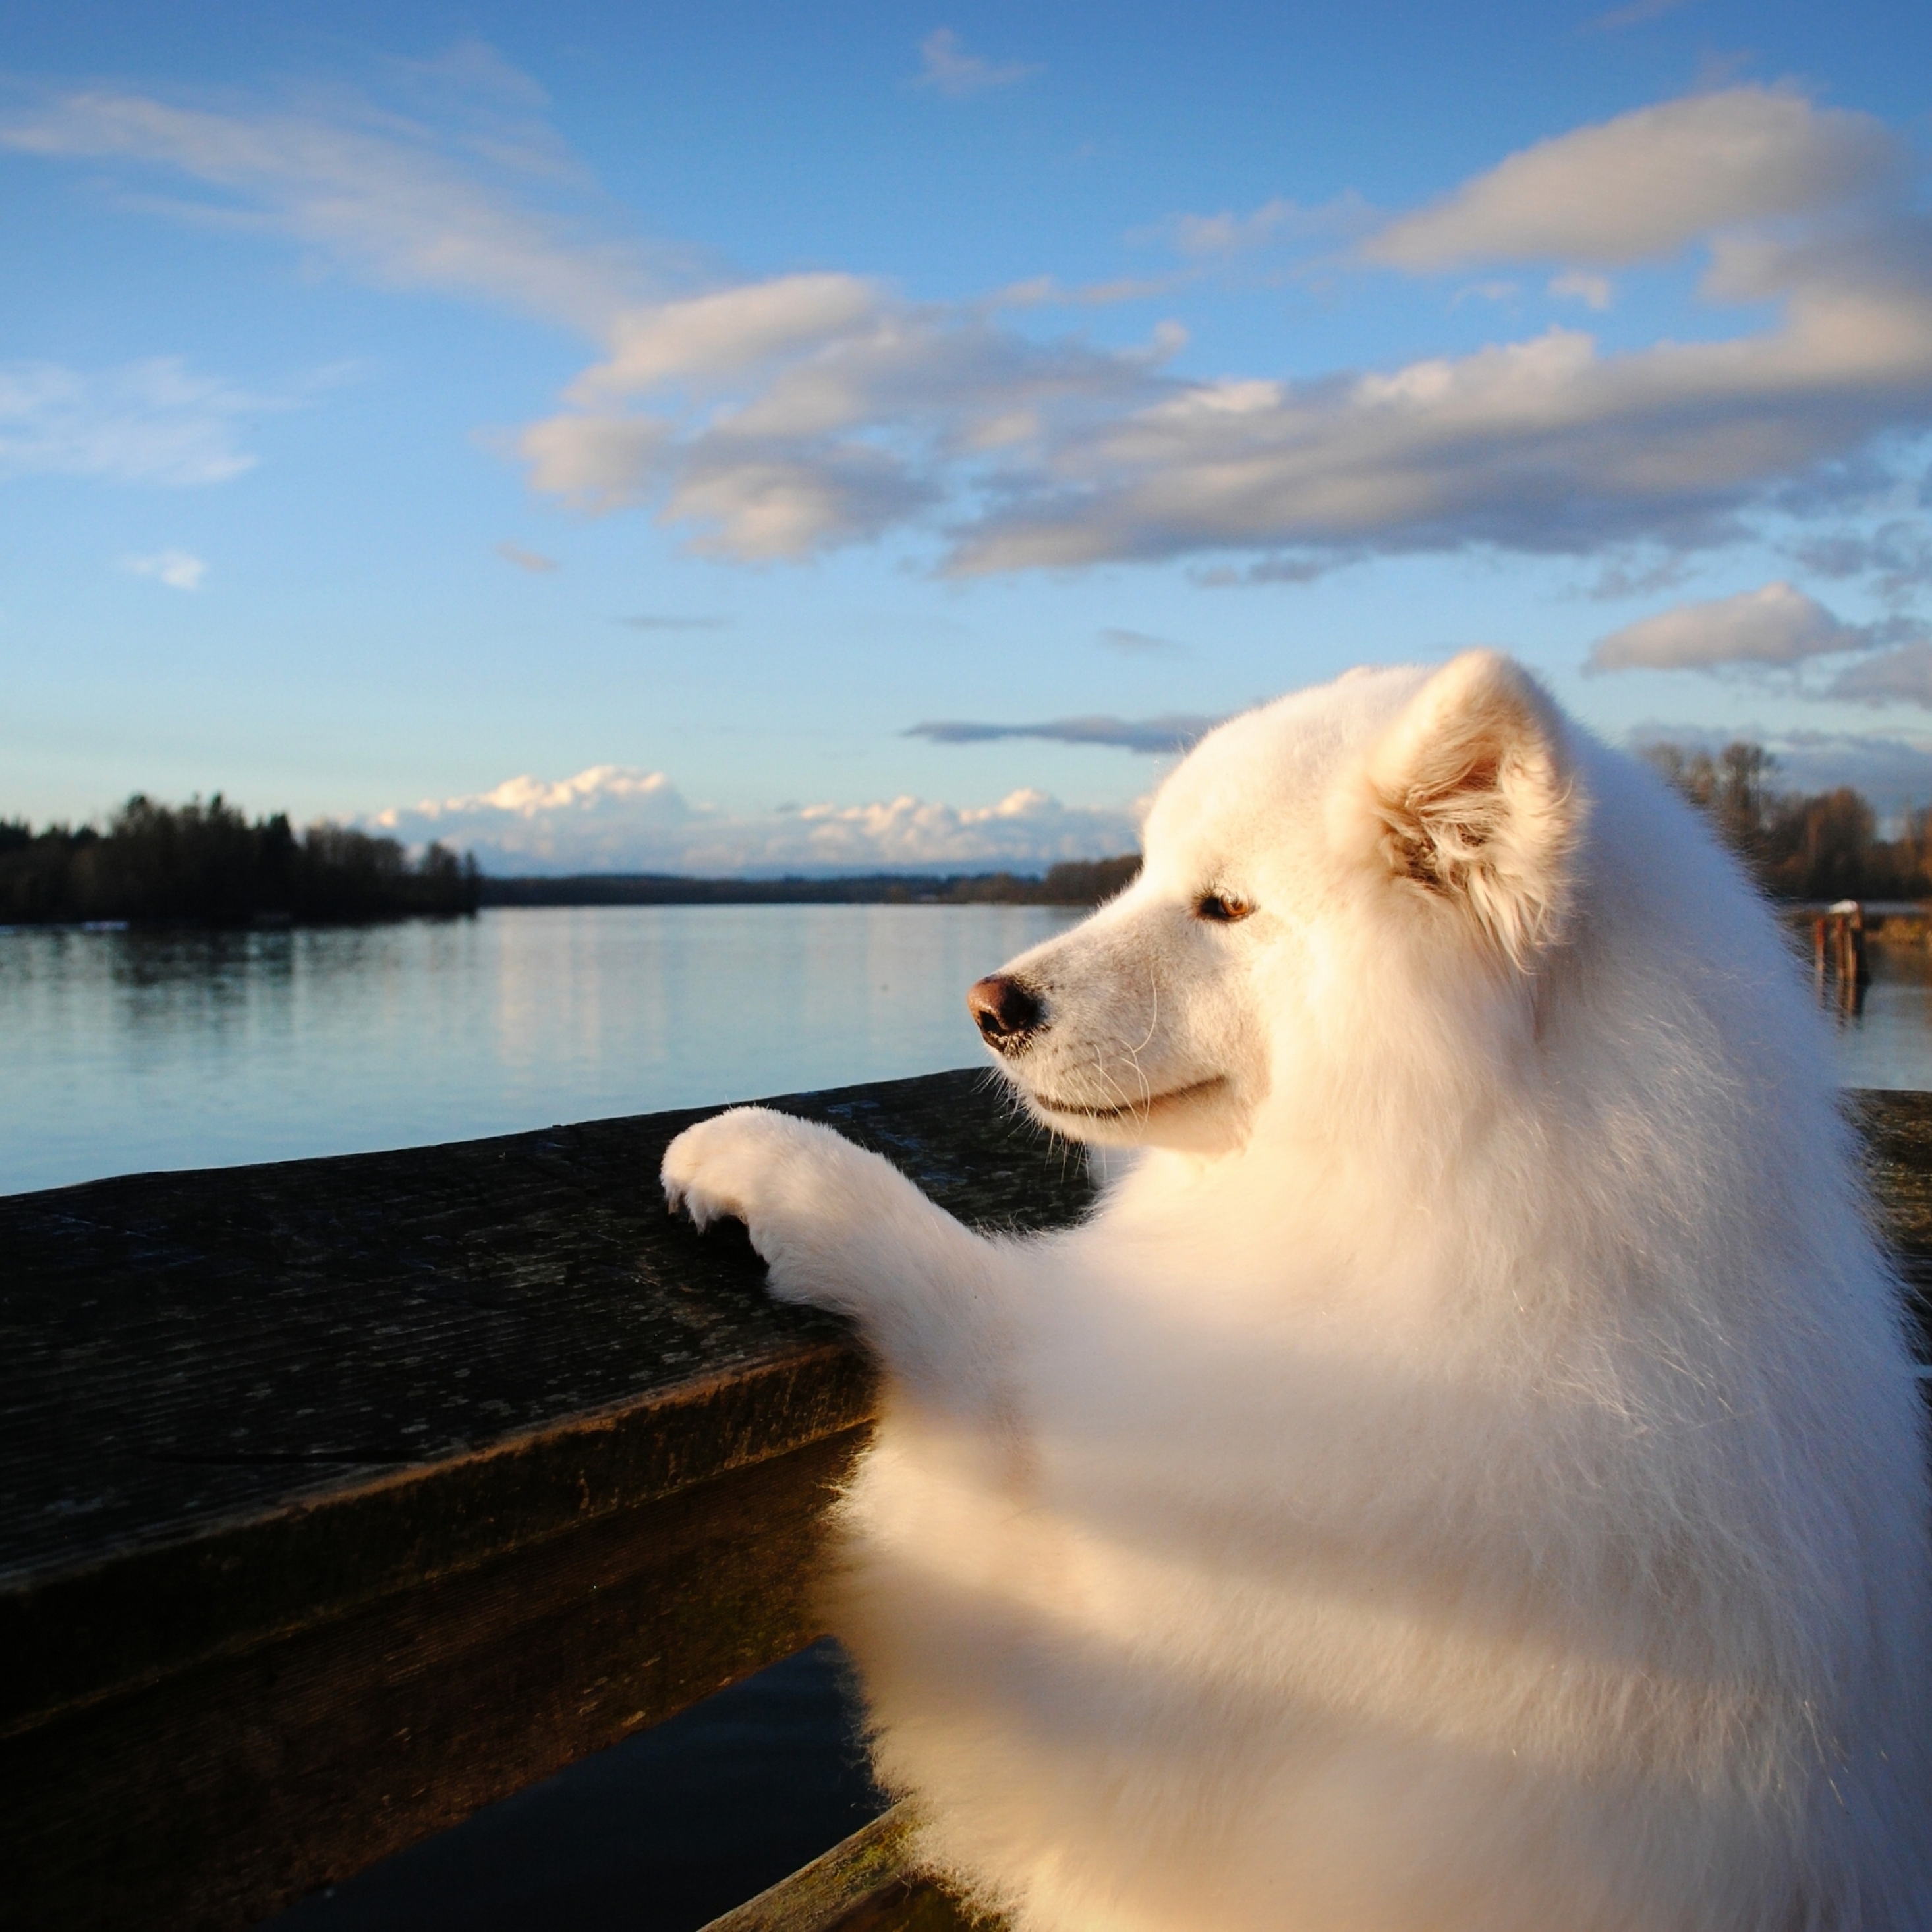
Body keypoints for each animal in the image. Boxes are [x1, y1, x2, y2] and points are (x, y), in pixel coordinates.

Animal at [664, 656, 1932, 1924]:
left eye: (1224, 907)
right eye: (1144, 874)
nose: (990, 1003)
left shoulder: (1115, 1691)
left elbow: (968, 1319)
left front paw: (773, 1161)